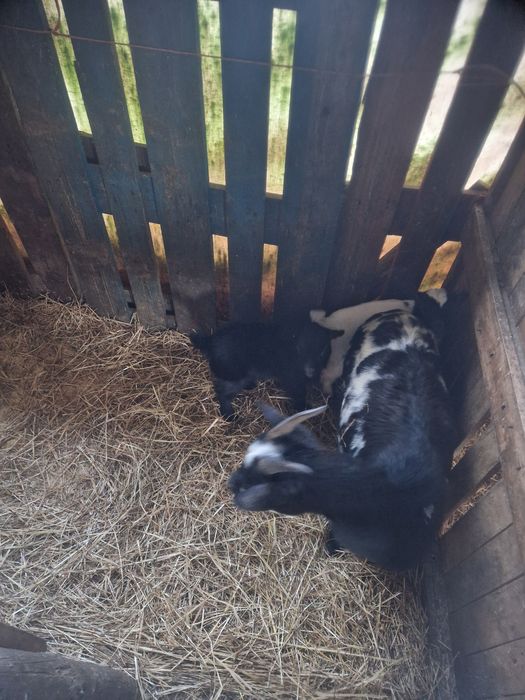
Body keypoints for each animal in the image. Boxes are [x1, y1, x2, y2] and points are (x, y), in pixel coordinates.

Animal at [190, 322, 343, 420]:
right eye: (299, 348)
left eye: (323, 350)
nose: (309, 371)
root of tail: (210, 342)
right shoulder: (291, 377)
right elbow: (298, 393)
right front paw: (303, 408)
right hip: (234, 374)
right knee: (222, 392)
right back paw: (229, 416)